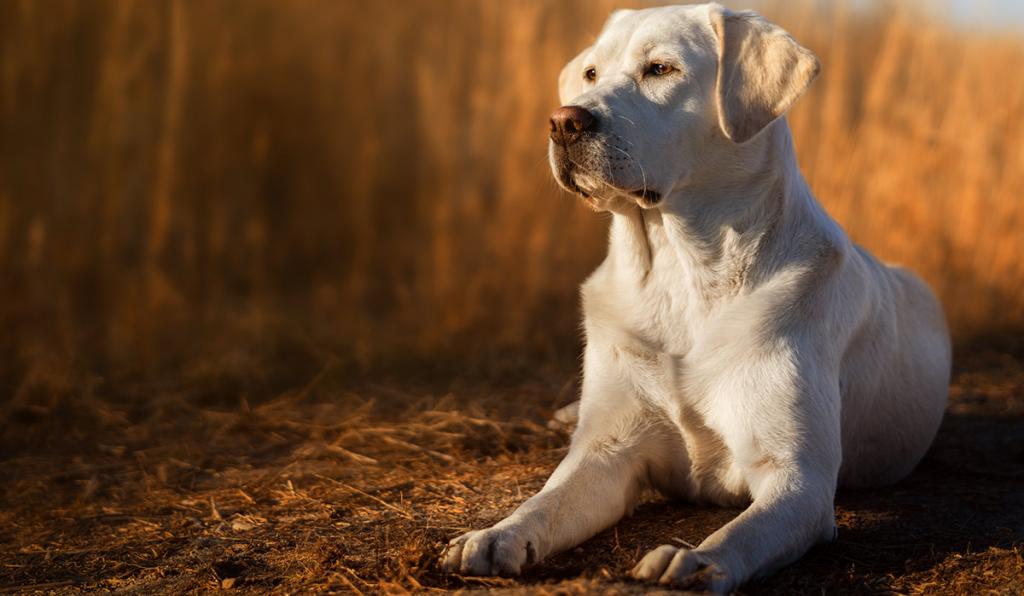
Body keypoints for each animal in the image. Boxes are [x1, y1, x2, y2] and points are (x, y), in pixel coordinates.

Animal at [440, 3, 950, 593]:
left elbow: (741, 533)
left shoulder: (797, 479)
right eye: (591, 74)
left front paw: (691, 561)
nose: (564, 121)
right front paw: (494, 536)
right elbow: (545, 503)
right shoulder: (607, 451)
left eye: (660, 69)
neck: (679, 276)